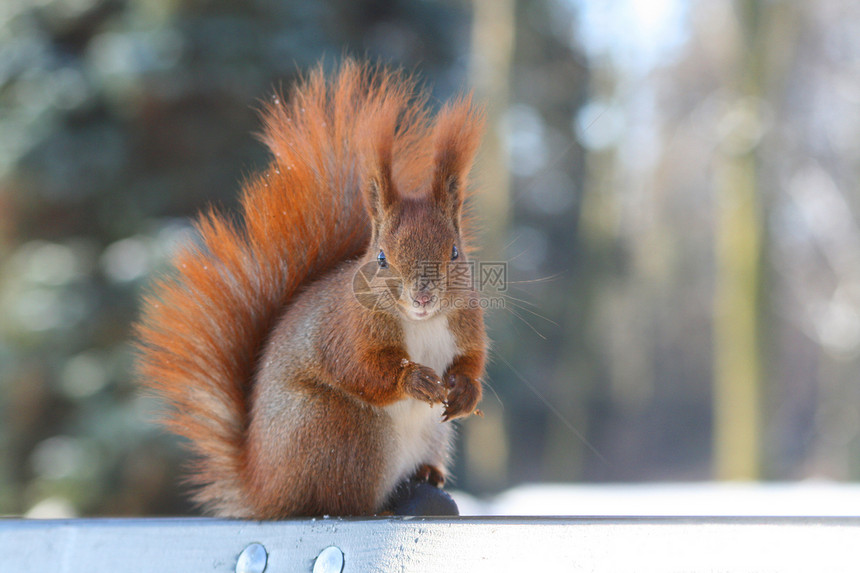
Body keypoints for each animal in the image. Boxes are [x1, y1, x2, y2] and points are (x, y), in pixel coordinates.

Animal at [134, 62, 484, 520]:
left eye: (455, 252)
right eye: (382, 257)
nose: (423, 298)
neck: (421, 323)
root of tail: (266, 489)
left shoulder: (467, 322)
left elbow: (473, 360)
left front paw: (466, 391)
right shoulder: (346, 330)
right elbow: (361, 370)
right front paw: (414, 380)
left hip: (422, 438)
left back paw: (426, 475)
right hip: (341, 432)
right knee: (339, 499)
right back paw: (377, 508)